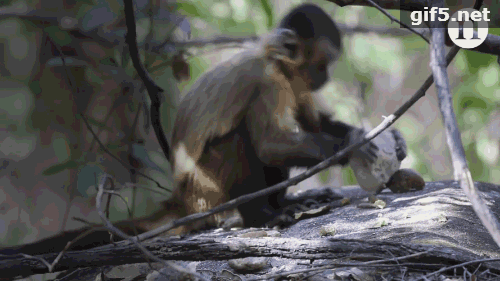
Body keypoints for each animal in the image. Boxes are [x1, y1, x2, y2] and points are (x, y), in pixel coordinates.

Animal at [0, 2, 376, 256]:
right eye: (325, 63)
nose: (326, 76)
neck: (279, 64)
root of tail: (181, 199)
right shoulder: (267, 81)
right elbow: (270, 144)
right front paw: (352, 148)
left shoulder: (295, 82)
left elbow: (313, 123)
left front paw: (357, 136)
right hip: (207, 192)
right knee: (241, 137)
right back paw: (262, 215)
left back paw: (286, 201)